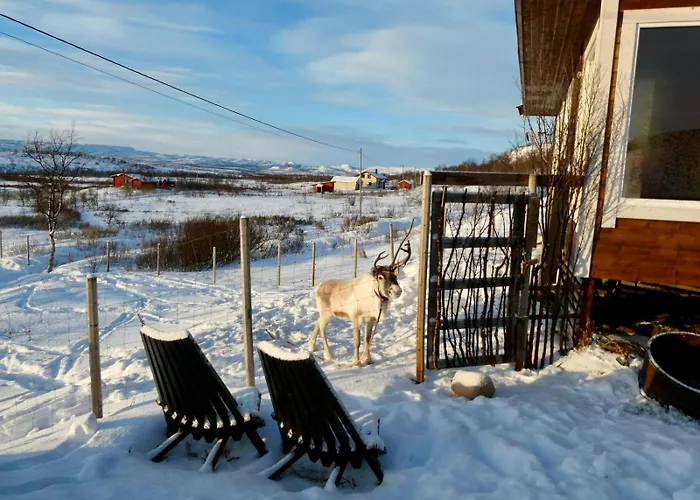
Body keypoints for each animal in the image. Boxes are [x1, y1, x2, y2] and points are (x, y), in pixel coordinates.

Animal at [308, 223, 413, 366]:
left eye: (395, 275)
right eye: (380, 276)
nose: (397, 290)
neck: (374, 298)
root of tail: (318, 287)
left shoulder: (371, 320)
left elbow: (368, 340)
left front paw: (368, 359)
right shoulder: (355, 318)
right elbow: (357, 342)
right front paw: (356, 362)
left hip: (328, 314)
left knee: (317, 323)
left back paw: (311, 346)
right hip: (326, 313)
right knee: (323, 330)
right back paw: (329, 356)